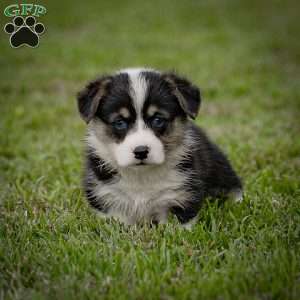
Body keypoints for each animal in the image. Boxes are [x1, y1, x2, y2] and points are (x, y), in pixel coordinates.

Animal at [76, 67, 243, 225]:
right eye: (119, 123)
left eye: (158, 120)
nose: (141, 151)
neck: (141, 176)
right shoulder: (107, 198)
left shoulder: (181, 196)